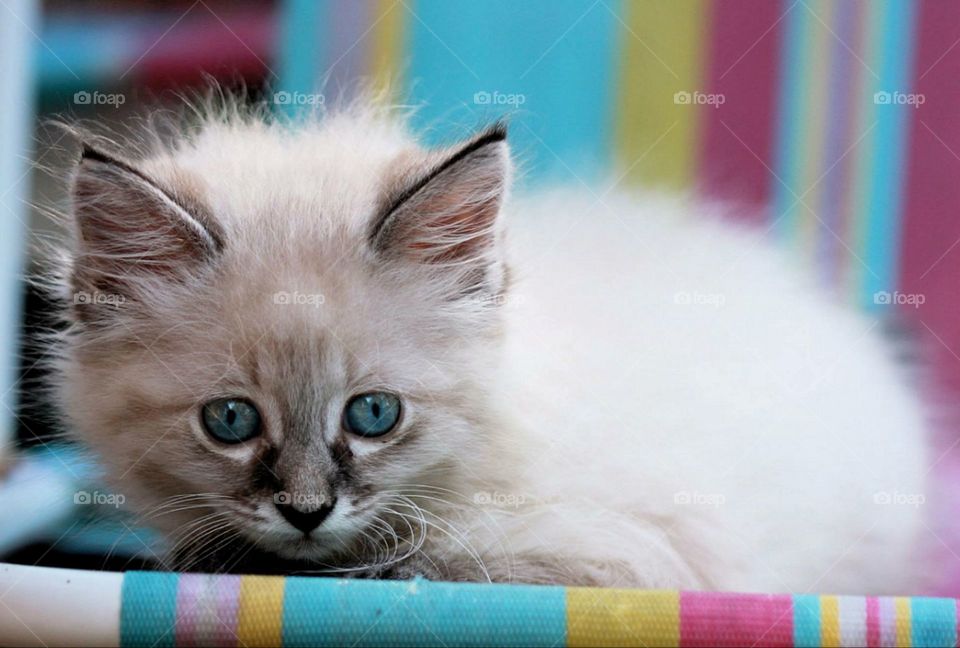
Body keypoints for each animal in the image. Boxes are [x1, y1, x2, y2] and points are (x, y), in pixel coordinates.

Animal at [50, 97, 928, 592]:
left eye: (373, 415)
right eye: (230, 421)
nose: (306, 512)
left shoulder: (635, 556)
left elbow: (407, 557)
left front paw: (227, 557)